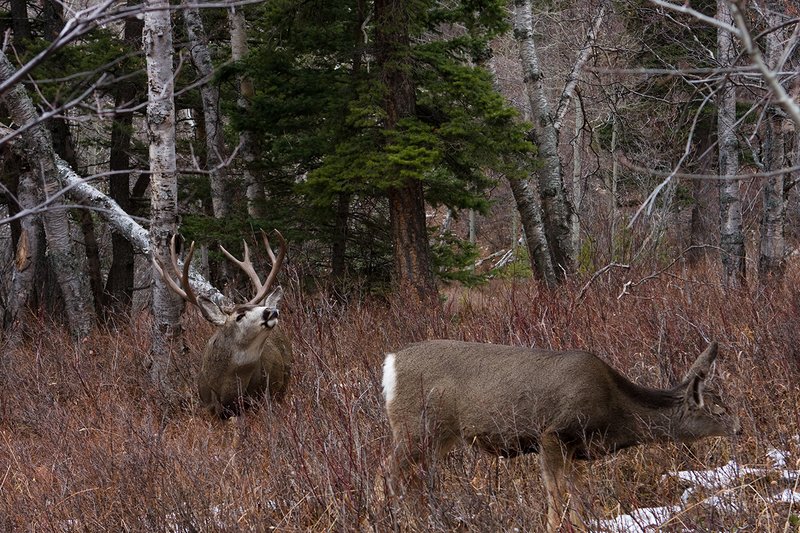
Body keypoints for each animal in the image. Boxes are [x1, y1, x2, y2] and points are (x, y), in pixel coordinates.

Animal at [381, 340, 740, 531]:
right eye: (718, 409)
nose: (739, 427)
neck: (617, 413)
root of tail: (389, 363)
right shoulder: (552, 434)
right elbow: (556, 496)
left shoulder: (578, 451)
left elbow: (576, 498)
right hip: (414, 427)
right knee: (387, 473)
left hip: (439, 438)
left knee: (414, 478)